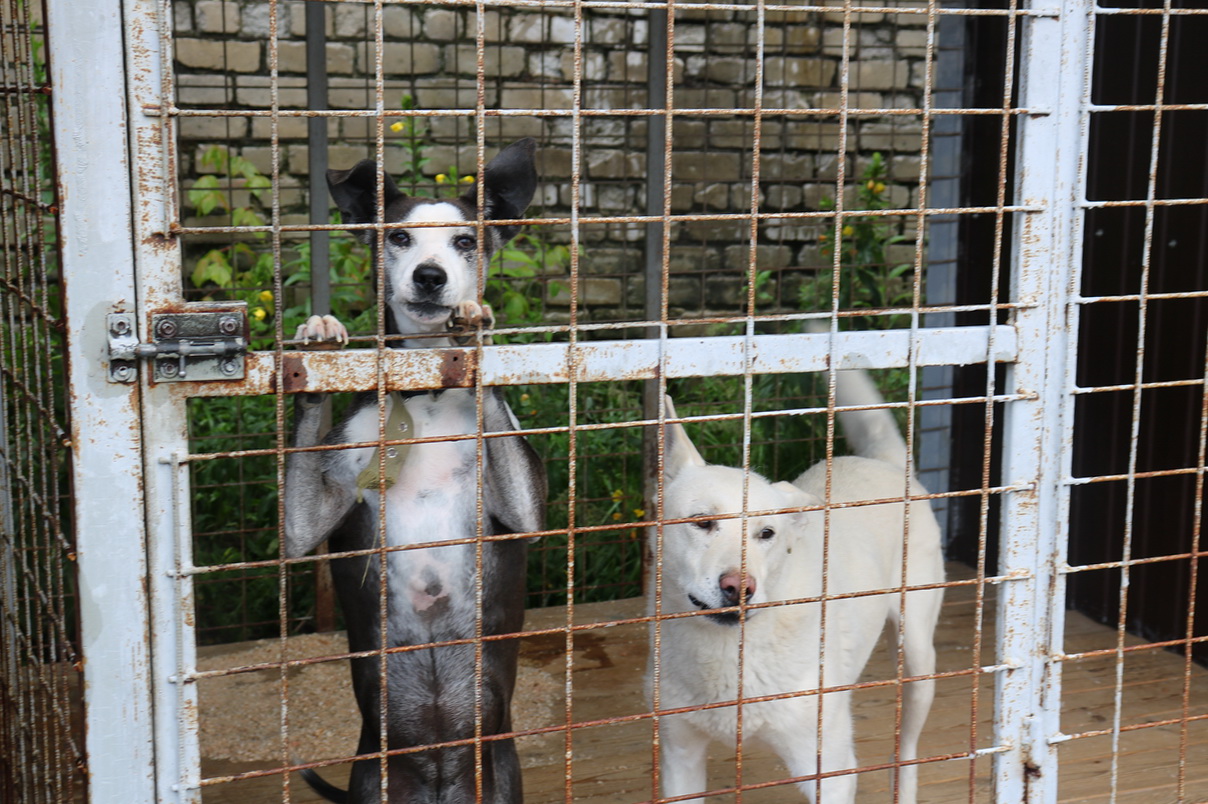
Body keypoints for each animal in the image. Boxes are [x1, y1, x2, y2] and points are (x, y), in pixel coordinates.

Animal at [282, 139, 548, 801]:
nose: (431, 277)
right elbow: (299, 529)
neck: (424, 392)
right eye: (398, 237)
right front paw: (317, 341)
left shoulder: (527, 510)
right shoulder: (306, 522)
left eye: (466, 241)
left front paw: (475, 330)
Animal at [652, 366, 942, 796]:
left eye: (767, 533)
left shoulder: (830, 769)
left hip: (918, 659)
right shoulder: (680, 759)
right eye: (702, 522)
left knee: (906, 750)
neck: (730, 654)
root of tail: (886, 463)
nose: (740, 587)